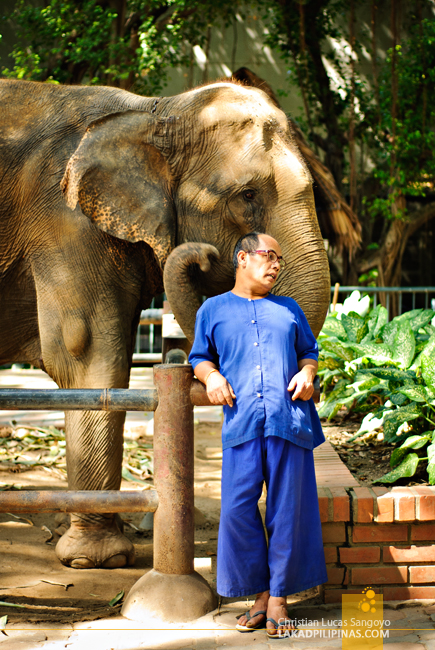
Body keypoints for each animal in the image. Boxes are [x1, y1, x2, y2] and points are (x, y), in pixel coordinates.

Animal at [0, 78, 330, 568]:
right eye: (247, 196)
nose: (208, 256)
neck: (154, 113)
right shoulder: (64, 222)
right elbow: (86, 355)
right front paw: (96, 559)